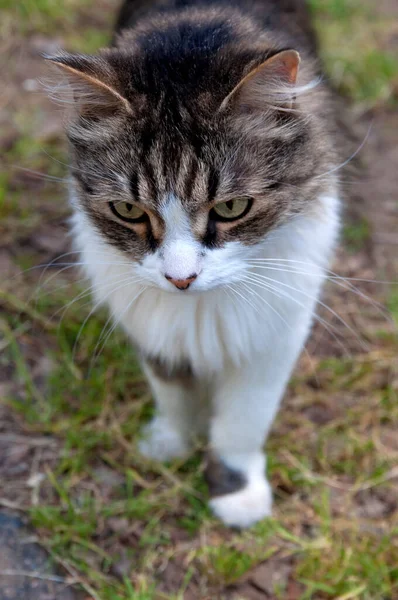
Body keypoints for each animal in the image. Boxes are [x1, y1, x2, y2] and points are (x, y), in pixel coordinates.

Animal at [45, 0, 338, 524]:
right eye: (129, 211)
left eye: (231, 208)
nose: (180, 279)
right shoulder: (151, 325)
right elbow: (173, 394)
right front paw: (170, 444)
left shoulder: (272, 335)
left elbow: (243, 423)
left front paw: (235, 495)